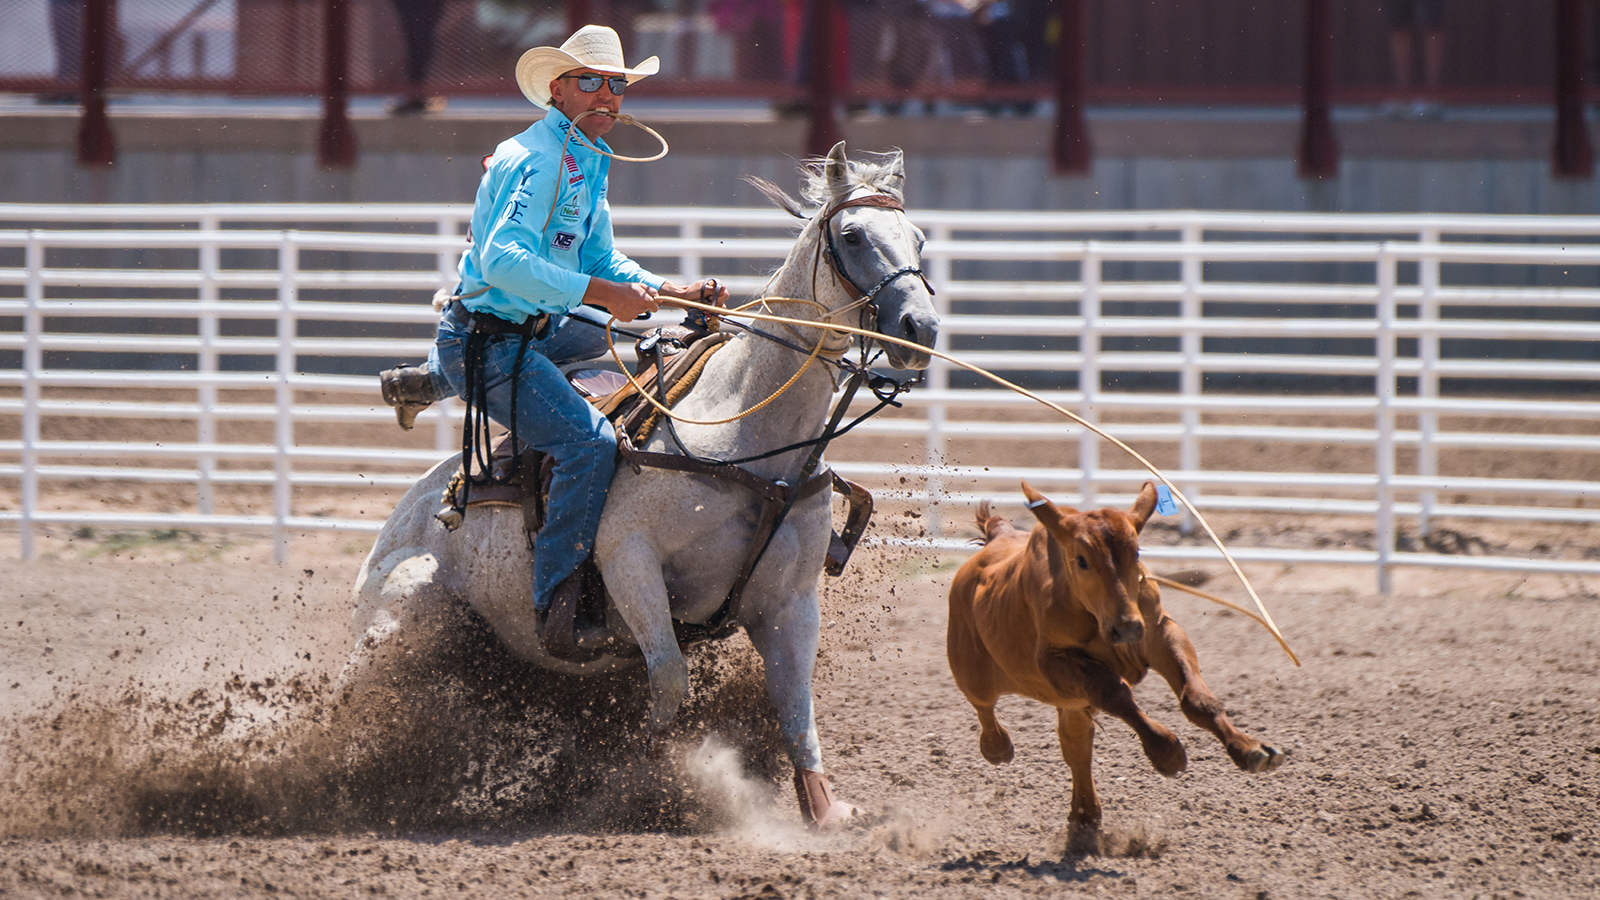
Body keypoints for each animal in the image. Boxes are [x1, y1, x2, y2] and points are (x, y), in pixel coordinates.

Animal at [339, 141, 934, 826]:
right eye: (854, 234)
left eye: (918, 238)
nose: (920, 329)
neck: (745, 435)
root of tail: (406, 517)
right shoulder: (628, 560)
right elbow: (670, 677)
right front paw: (642, 780)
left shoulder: (791, 602)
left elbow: (796, 711)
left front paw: (826, 811)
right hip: (405, 611)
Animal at [940, 480, 1280, 845]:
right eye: (1082, 560)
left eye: (1137, 553)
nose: (1126, 627)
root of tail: (996, 537)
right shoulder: (1056, 662)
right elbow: (1115, 693)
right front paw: (1165, 750)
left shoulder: (1160, 633)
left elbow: (1197, 699)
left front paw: (1249, 749)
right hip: (972, 671)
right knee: (984, 707)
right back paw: (998, 747)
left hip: (1072, 703)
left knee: (1076, 748)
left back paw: (1085, 816)